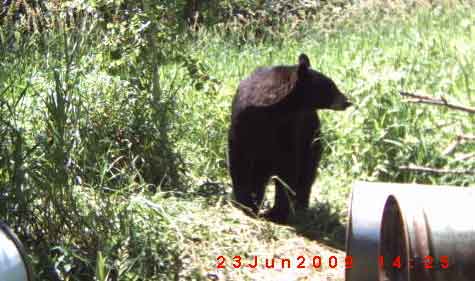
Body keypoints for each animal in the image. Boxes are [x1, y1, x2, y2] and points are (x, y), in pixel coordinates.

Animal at [229, 53, 352, 222]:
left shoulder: (290, 129)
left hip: (311, 137)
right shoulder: (243, 125)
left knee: (307, 172)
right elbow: (239, 162)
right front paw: (246, 204)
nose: (347, 101)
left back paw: (300, 206)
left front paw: (277, 212)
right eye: (330, 86)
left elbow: (288, 167)